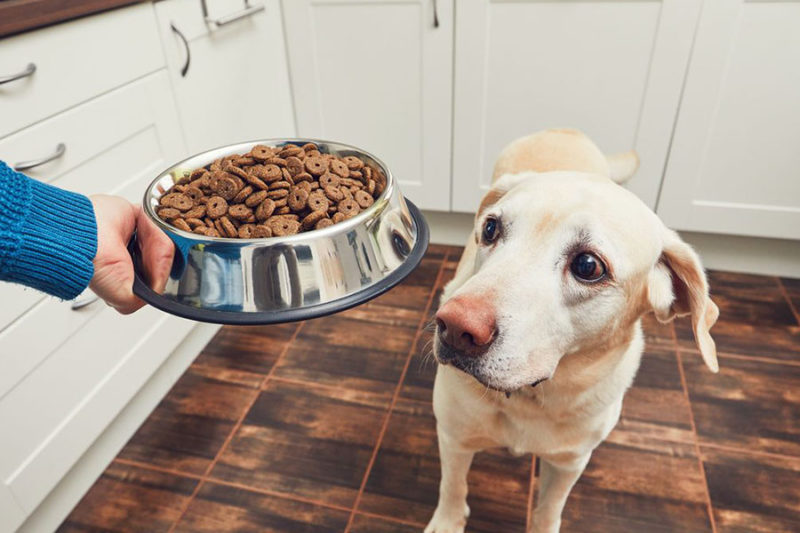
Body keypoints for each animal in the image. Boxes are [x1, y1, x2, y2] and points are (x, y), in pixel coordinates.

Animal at [424, 129, 720, 532]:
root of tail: (563, 130)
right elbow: (452, 487)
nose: (454, 327)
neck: (531, 398)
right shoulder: (454, 436)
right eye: (490, 228)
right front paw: (448, 521)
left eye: (588, 265)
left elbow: (549, 508)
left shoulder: (569, 463)